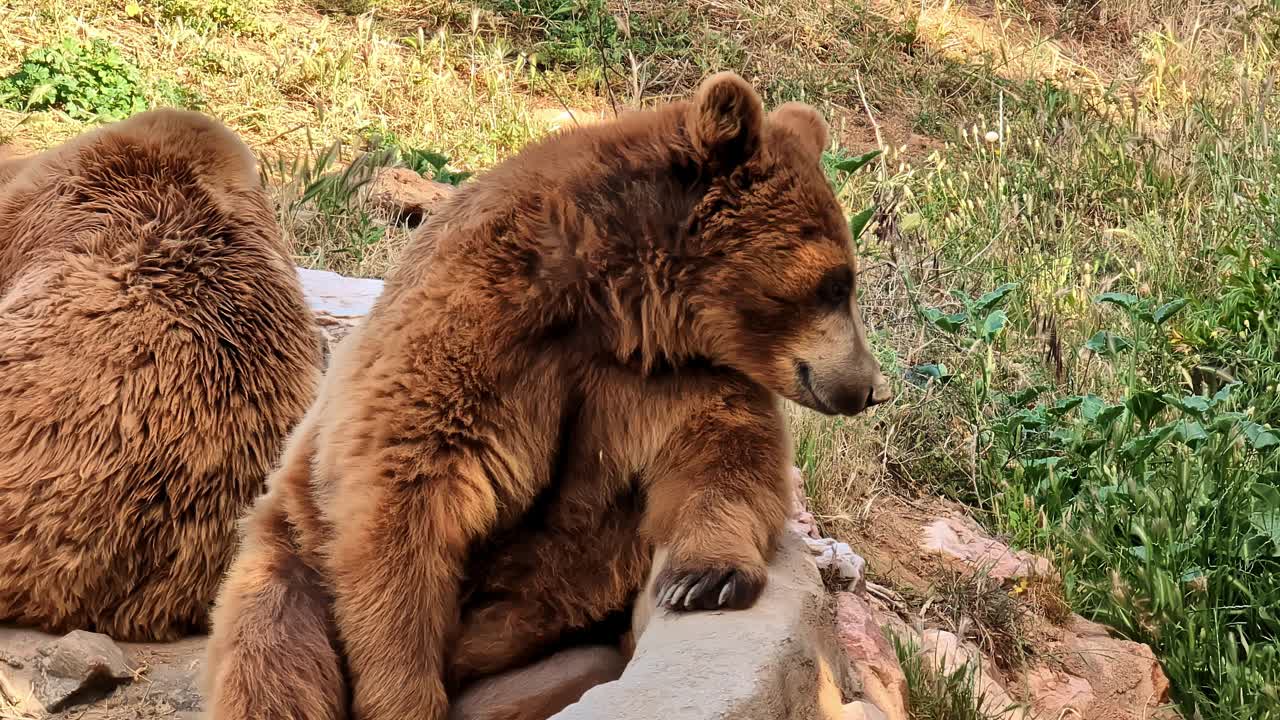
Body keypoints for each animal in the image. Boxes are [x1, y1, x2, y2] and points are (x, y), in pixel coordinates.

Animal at [207, 71, 890, 717]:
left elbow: (724, 456)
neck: (621, 300)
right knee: (275, 654)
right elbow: (405, 500)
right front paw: (402, 696)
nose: (869, 388)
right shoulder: (481, 330)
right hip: (287, 549)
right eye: (836, 285)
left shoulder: (669, 375)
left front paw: (706, 579)